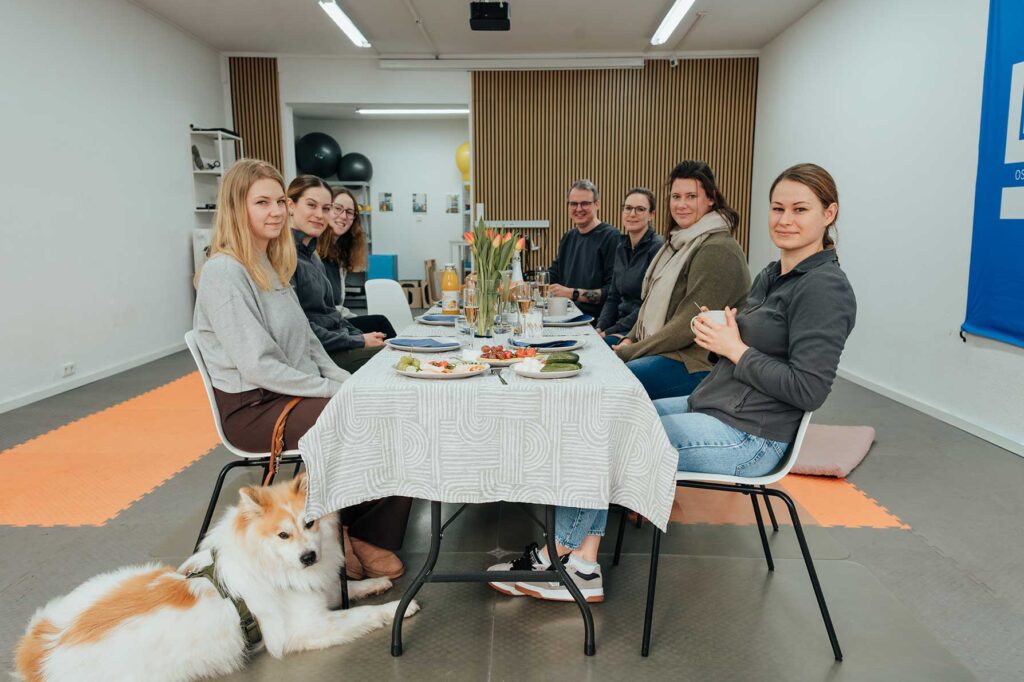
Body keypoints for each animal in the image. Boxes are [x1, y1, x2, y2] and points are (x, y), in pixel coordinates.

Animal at [14, 474, 419, 681]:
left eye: (309, 524)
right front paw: (399, 606)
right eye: (282, 535)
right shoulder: (302, 628)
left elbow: (341, 589)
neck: (270, 563)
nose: (309, 556)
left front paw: (375, 584)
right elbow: (360, 614)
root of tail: (35, 655)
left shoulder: (313, 591)